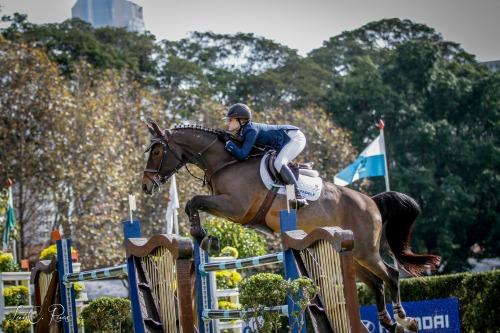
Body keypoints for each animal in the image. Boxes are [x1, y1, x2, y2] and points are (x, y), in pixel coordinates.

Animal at [143, 121, 440, 332]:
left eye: (157, 151)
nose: (146, 186)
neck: (225, 160)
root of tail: (371, 201)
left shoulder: (236, 207)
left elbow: (194, 201)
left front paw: (200, 234)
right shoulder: (229, 208)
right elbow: (193, 204)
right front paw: (204, 237)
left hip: (366, 251)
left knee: (391, 275)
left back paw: (405, 320)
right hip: (355, 254)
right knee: (376, 283)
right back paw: (388, 322)